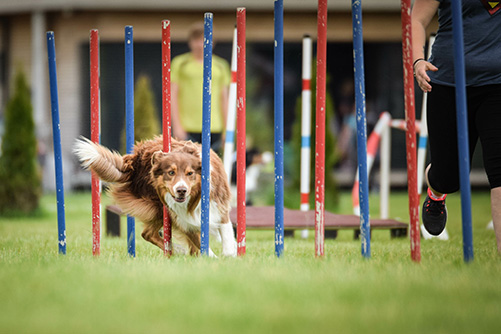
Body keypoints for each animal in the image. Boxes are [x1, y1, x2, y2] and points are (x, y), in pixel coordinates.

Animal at [73, 137, 236, 258]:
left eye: (190, 173)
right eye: (171, 172)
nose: (181, 190)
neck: (193, 199)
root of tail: (135, 160)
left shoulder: (219, 206)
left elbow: (226, 233)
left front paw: (230, 254)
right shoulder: (182, 219)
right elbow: (200, 242)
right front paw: (212, 258)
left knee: (148, 233)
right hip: (157, 207)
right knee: (147, 233)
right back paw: (177, 250)